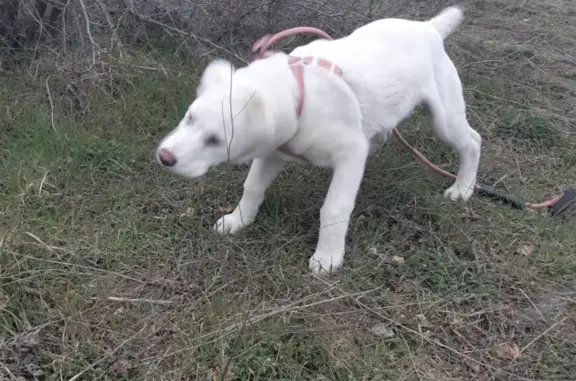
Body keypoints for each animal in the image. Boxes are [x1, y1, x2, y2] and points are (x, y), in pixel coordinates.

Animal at [156, 5, 482, 274]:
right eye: (189, 118)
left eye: (215, 140)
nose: (165, 158)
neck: (302, 99)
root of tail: (430, 28)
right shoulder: (272, 152)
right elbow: (252, 187)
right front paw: (239, 220)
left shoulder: (349, 153)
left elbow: (334, 207)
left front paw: (328, 257)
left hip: (444, 120)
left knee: (473, 141)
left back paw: (462, 189)